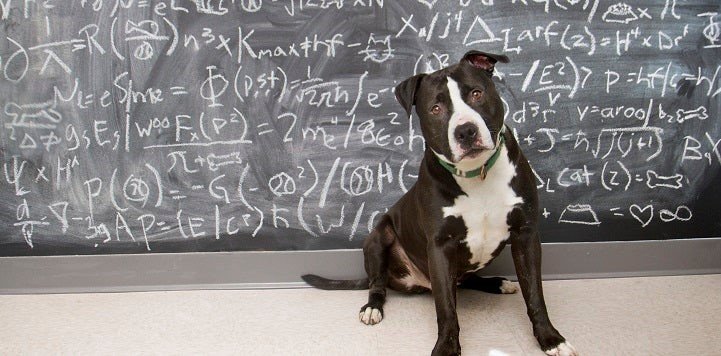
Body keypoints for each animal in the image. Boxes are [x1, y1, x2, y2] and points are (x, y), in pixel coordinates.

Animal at [300, 50, 576, 356]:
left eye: (476, 93)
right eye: (435, 109)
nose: (466, 131)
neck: (477, 173)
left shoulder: (526, 234)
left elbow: (535, 294)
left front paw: (550, 338)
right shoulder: (440, 246)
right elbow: (446, 309)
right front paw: (446, 347)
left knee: (465, 280)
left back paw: (498, 283)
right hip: (378, 236)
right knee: (378, 283)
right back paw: (372, 307)